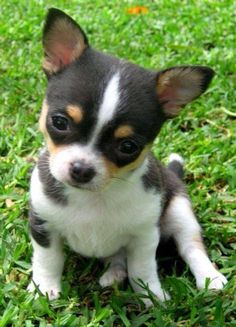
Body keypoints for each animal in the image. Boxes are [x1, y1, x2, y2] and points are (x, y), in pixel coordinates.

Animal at [28, 7, 228, 304]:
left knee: (191, 247)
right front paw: (44, 288)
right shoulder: (43, 225)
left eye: (128, 147)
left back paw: (210, 277)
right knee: (118, 258)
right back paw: (113, 274)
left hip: (180, 211)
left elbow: (142, 269)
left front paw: (151, 296)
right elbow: (48, 260)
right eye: (60, 122)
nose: (81, 169)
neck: (95, 198)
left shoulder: (145, 237)